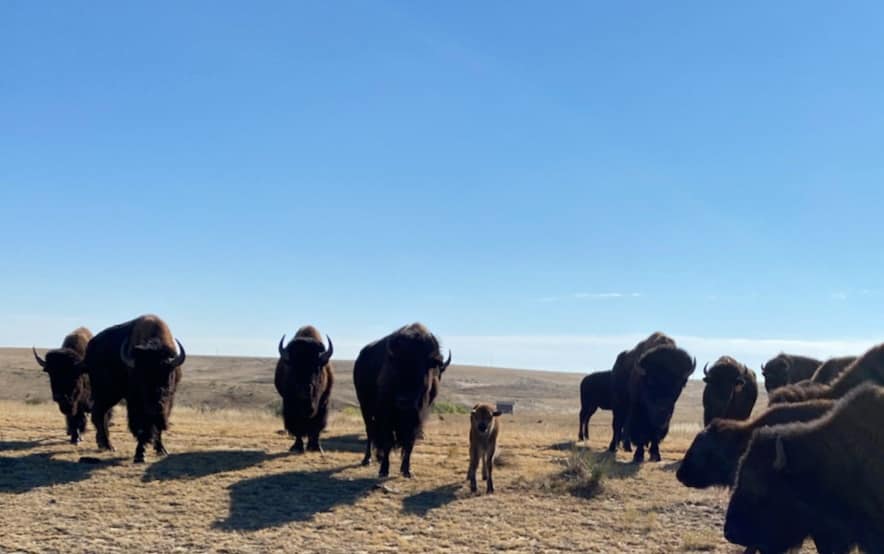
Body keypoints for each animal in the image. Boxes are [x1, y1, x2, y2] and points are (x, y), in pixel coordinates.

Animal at [85, 315, 185, 463]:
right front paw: (140, 454)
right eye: (140, 378)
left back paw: (103, 444)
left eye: (167, 375)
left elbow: (157, 428)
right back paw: (109, 446)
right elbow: (140, 428)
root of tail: (91, 347)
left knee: (101, 414)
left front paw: (161, 450)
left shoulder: (168, 402)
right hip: (106, 393)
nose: (154, 407)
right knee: (99, 414)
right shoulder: (134, 403)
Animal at [353, 323, 451, 478]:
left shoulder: (418, 416)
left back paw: (379, 456)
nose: (405, 402)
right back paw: (367, 459)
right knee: (370, 431)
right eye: (397, 367)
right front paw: (384, 470)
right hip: (365, 407)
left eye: (422, 369)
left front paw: (407, 470)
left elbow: (410, 442)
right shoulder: (386, 414)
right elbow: (387, 440)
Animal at [612, 332, 695, 463]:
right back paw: (613, 448)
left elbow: (655, 434)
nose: (662, 412)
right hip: (619, 406)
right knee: (617, 425)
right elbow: (640, 432)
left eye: (678, 385)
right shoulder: (639, 411)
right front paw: (638, 456)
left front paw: (655, 455)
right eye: (650, 383)